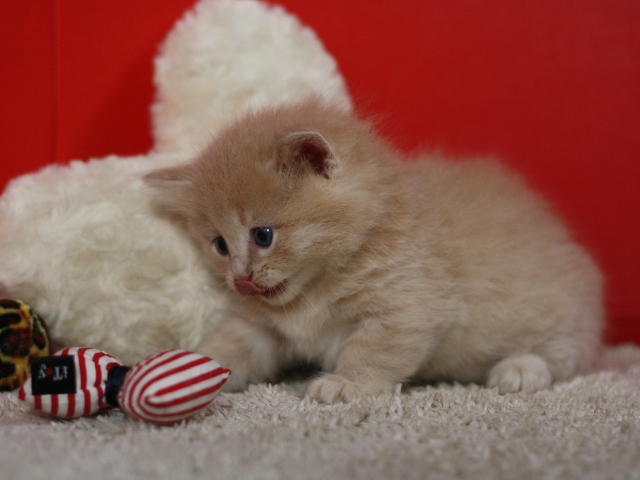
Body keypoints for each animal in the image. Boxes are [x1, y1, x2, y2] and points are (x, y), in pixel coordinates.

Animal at [145, 96, 604, 402]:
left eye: (263, 235)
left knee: (568, 353)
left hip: (551, 312)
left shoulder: (407, 308)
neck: (312, 291)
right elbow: (229, 347)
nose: (240, 279)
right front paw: (189, 364)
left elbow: (374, 352)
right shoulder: (257, 328)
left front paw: (346, 384)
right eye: (220, 245)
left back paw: (521, 369)